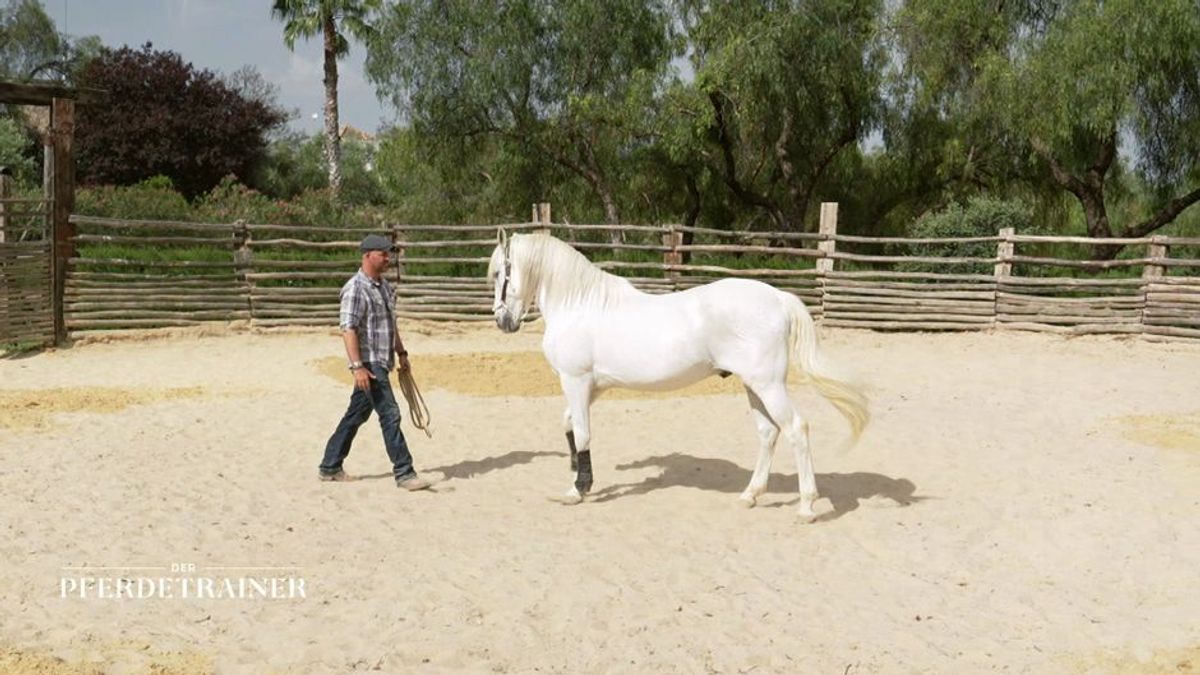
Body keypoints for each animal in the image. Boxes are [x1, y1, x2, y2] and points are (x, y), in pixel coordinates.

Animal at [482, 230, 868, 521]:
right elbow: (569, 427)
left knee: (796, 429)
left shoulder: (575, 380)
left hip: (768, 385)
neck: (580, 305)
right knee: (768, 433)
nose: (502, 321)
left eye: (501, 273)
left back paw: (806, 507)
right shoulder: (594, 385)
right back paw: (750, 495)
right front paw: (580, 477)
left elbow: (582, 432)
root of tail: (778, 297)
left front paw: (577, 490)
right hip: (754, 386)